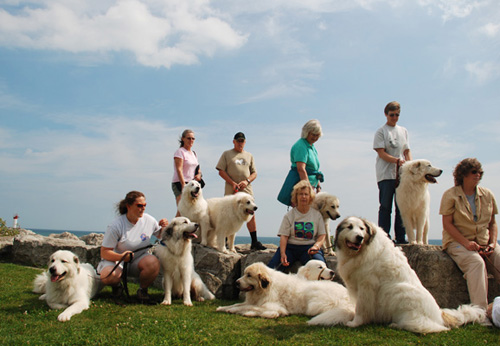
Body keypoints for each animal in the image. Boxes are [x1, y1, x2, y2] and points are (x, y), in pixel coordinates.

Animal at [217, 262, 354, 324]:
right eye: (245, 274)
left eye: (249, 275)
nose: (236, 282)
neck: (266, 288)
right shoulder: (255, 301)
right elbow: (238, 304)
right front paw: (223, 307)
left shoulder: (272, 306)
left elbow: (247, 307)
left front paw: (237, 311)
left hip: (313, 302)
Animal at [332, 216, 484, 332]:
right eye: (349, 227)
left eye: (362, 229)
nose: (359, 237)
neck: (361, 251)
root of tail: (439, 316)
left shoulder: (367, 286)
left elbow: (361, 308)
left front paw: (355, 323)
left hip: (399, 290)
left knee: (427, 327)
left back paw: (397, 325)